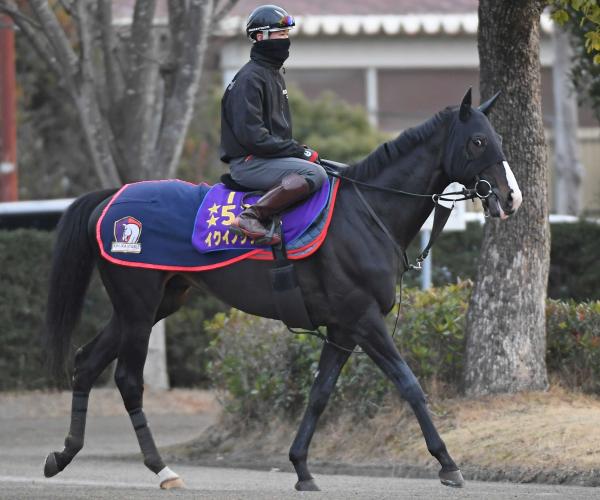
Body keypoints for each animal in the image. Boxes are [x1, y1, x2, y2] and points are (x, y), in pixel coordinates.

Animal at [43, 89, 520, 488]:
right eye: (478, 141)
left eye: (497, 136)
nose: (511, 196)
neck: (366, 212)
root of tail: (111, 199)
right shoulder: (365, 320)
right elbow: (409, 385)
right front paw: (448, 464)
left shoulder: (344, 329)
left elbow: (320, 393)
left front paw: (301, 466)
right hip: (139, 309)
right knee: (127, 380)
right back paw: (161, 469)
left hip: (153, 304)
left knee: (87, 362)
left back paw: (63, 455)